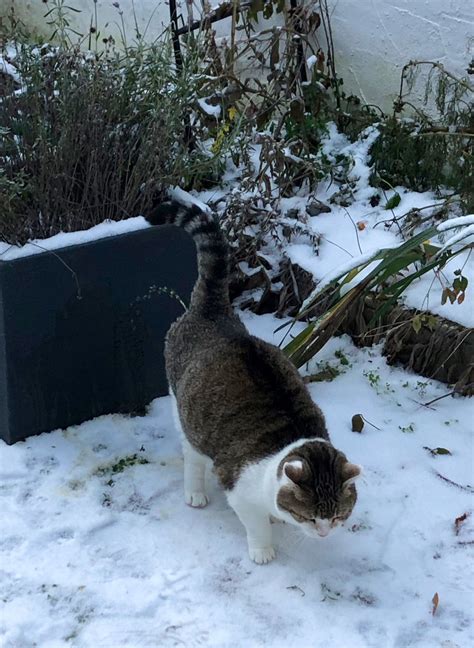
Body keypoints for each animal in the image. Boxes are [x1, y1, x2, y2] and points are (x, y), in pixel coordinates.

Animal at [146, 200, 362, 564]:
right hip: (185, 411)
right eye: (310, 517)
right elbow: (255, 523)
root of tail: (213, 311)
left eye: (337, 516)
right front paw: (263, 548)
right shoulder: (239, 489)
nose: (323, 533)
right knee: (192, 454)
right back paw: (195, 491)